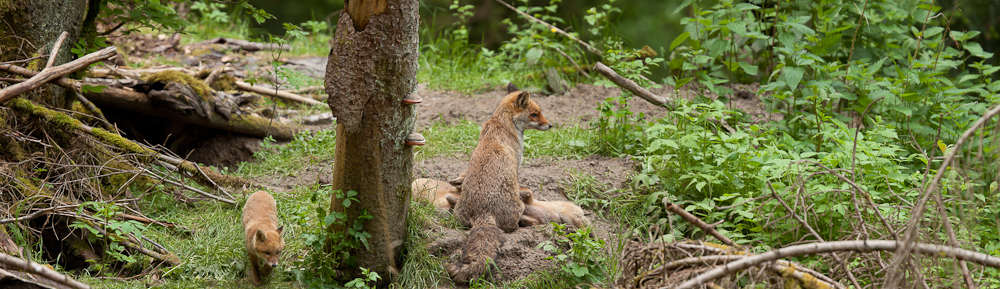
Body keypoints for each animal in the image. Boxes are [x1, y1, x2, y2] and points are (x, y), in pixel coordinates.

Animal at [448, 82, 552, 282]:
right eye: (535, 114)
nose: (550, 125)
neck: (502, 125)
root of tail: (483, 213)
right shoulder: (516, 167)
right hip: (517, 208)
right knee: (511, 227)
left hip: (460, 216)